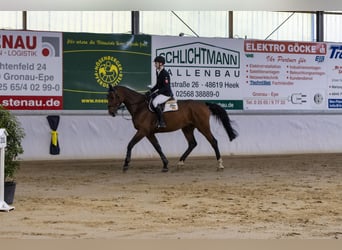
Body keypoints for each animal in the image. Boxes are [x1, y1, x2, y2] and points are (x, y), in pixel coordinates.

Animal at [107, 85, 238, 173]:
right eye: (107, 96)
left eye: (113, 96)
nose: (111, 113)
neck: (140, 106)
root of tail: (204, 104)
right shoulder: (149, 133)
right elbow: (157, 147)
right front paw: (165, 165)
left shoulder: (143, 131)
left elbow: (130, 144)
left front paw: (126, 164)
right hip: (187, 128)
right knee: (192, 143)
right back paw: (180, 162)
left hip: (203, 126)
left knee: (213, 141)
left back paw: (220, 164)